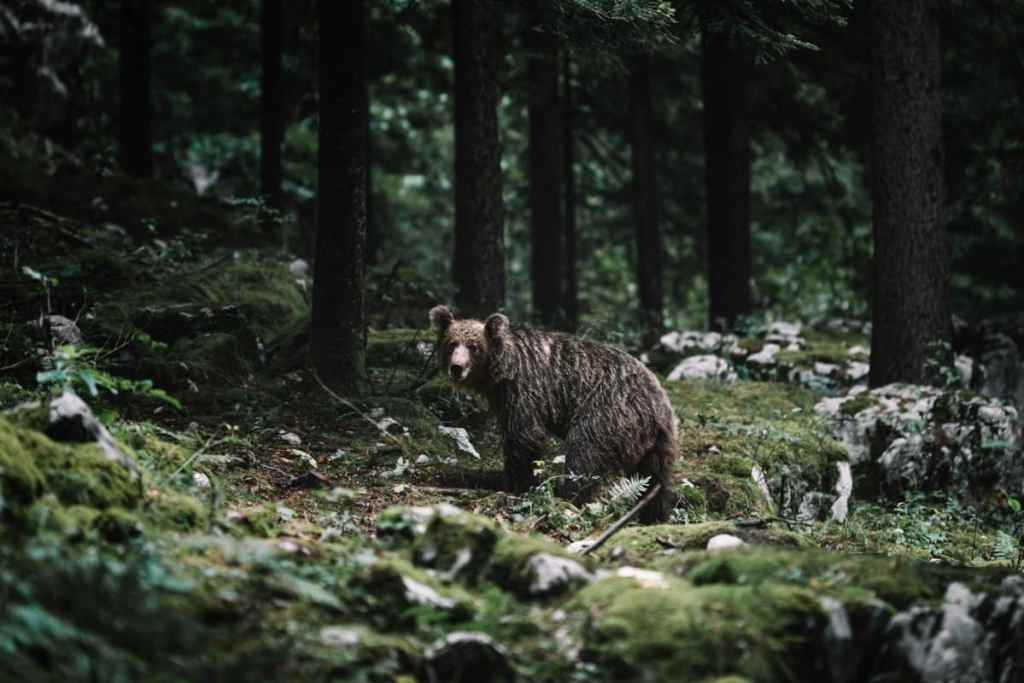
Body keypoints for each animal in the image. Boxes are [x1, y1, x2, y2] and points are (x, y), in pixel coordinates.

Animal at [429, 304, 678, 523]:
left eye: (474, 346)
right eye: (452, 343)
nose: (456, 368)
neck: (501, 373)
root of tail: (658, 404)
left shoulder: (525, 391)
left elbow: (524, 437)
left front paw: (513, 482)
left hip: (607, 412)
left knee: (583, 453)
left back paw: (569, 496)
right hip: (659, 443)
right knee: (654, 479)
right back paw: (654, 515)